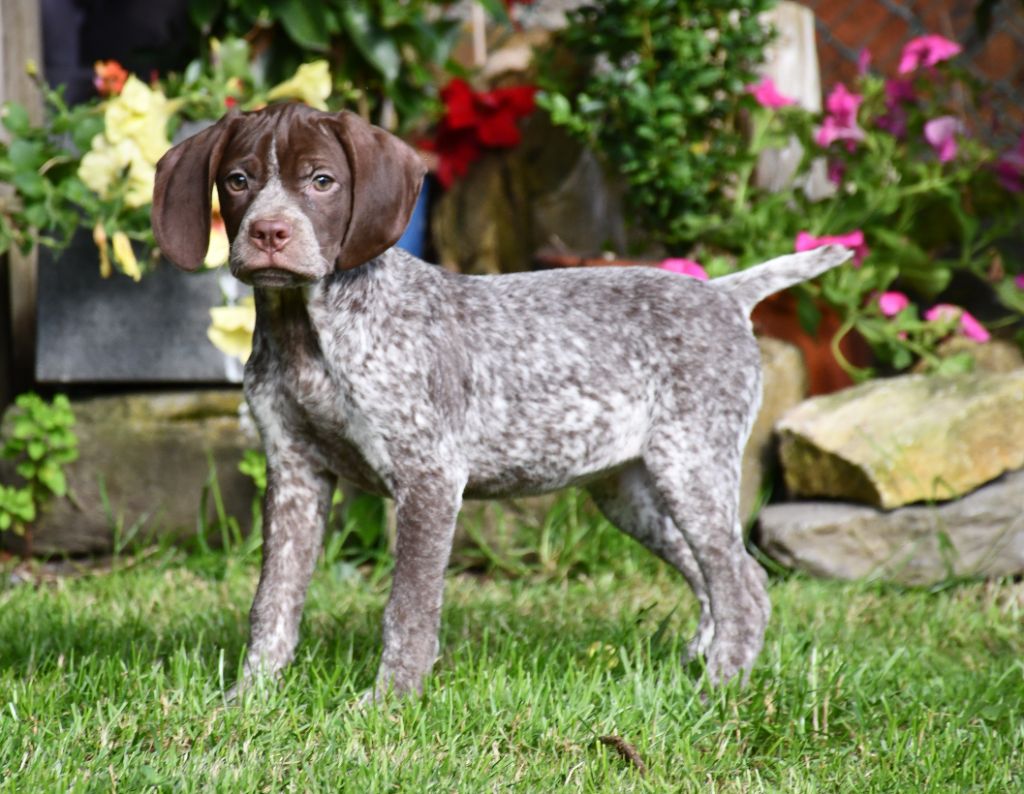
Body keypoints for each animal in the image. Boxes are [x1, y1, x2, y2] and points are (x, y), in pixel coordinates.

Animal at [153, 100, 856, 700]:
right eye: (238, 180)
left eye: (322, 181)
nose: (269, 233)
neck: (307, 330)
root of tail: (724, 294)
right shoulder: (295, 473)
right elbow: (272, 601)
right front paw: (251, 698)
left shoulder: (430, 477)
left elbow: (408, 609)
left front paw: (389, 702)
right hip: (631, 491)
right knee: (727, 576)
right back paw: (698, 664)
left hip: (690, 466)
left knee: (740, 585)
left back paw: (719, 690)